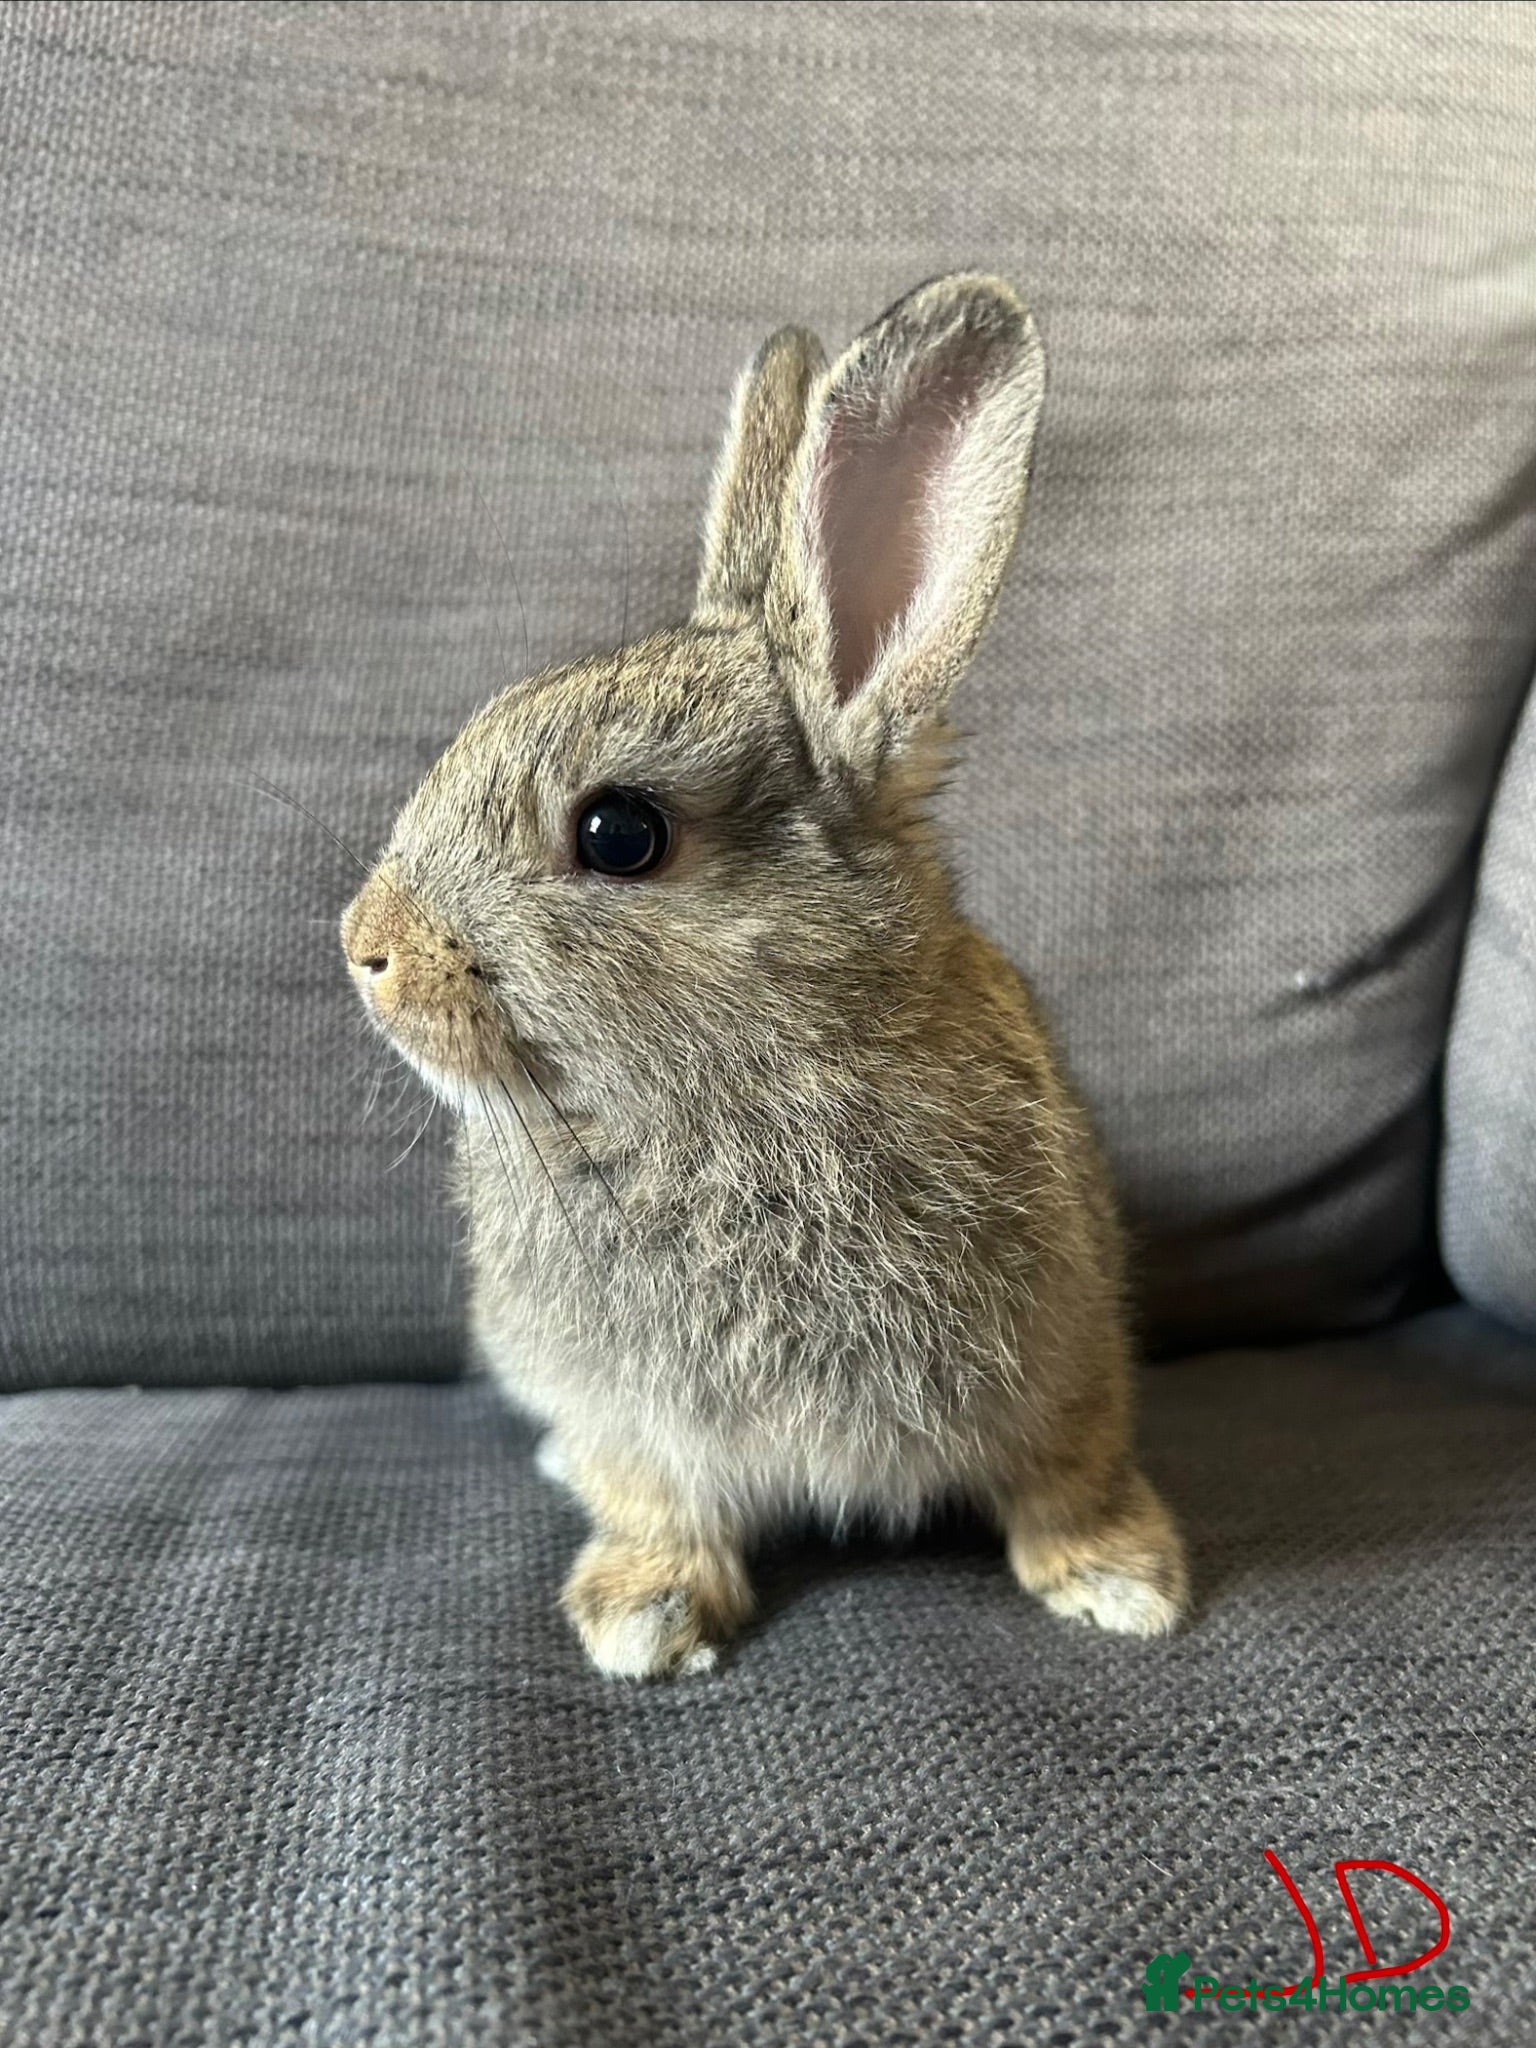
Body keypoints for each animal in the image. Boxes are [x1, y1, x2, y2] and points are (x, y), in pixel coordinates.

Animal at [341, 274, 1188, 1680]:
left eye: (619, 832)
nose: (368, 947)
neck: (740, 1087)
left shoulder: (1066, 1348)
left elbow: (1069, 1470)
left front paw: (1123, 1580)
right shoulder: (631, 1410)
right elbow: (655, 1498)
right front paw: (643, 1616)